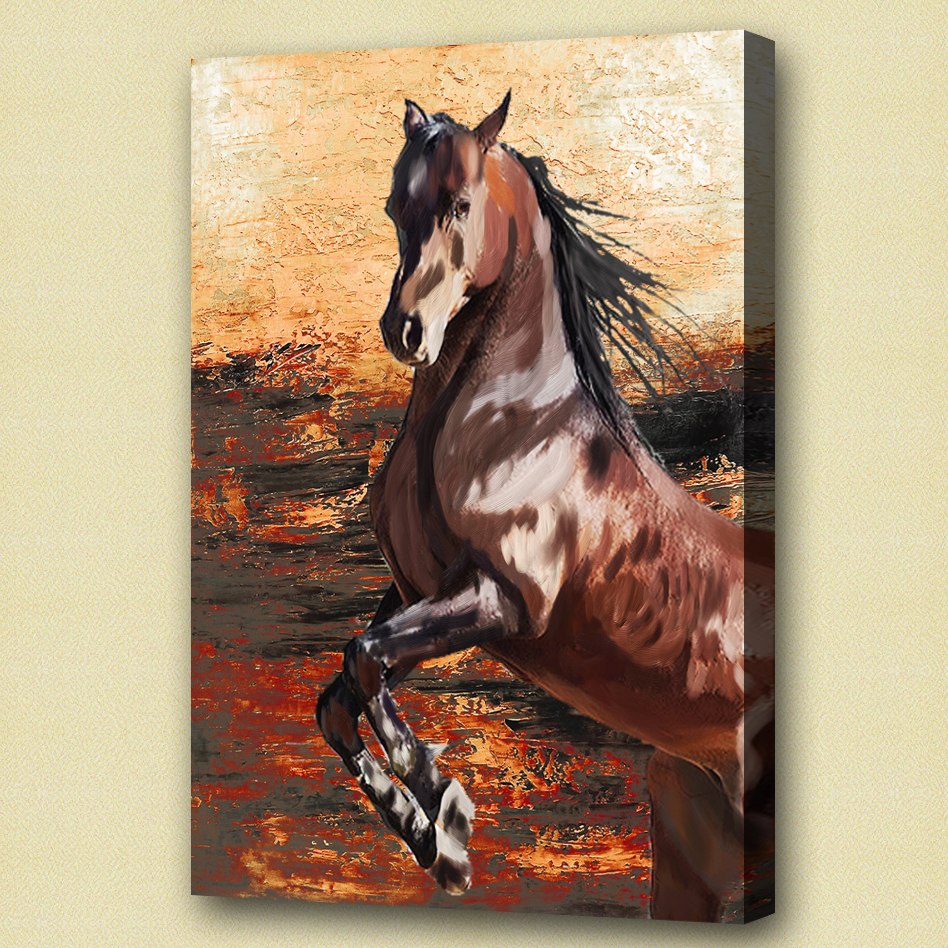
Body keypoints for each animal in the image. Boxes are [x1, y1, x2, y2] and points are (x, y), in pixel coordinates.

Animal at [317, 92, 775, 922]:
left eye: (460, 203)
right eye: (395, 205)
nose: (404, 331)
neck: (515, 431)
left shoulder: (501, 601)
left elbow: (365, 664)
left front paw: (447, 809)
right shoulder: (416, 593)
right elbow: (344, 693)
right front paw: (435, 845)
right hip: (690, 823)